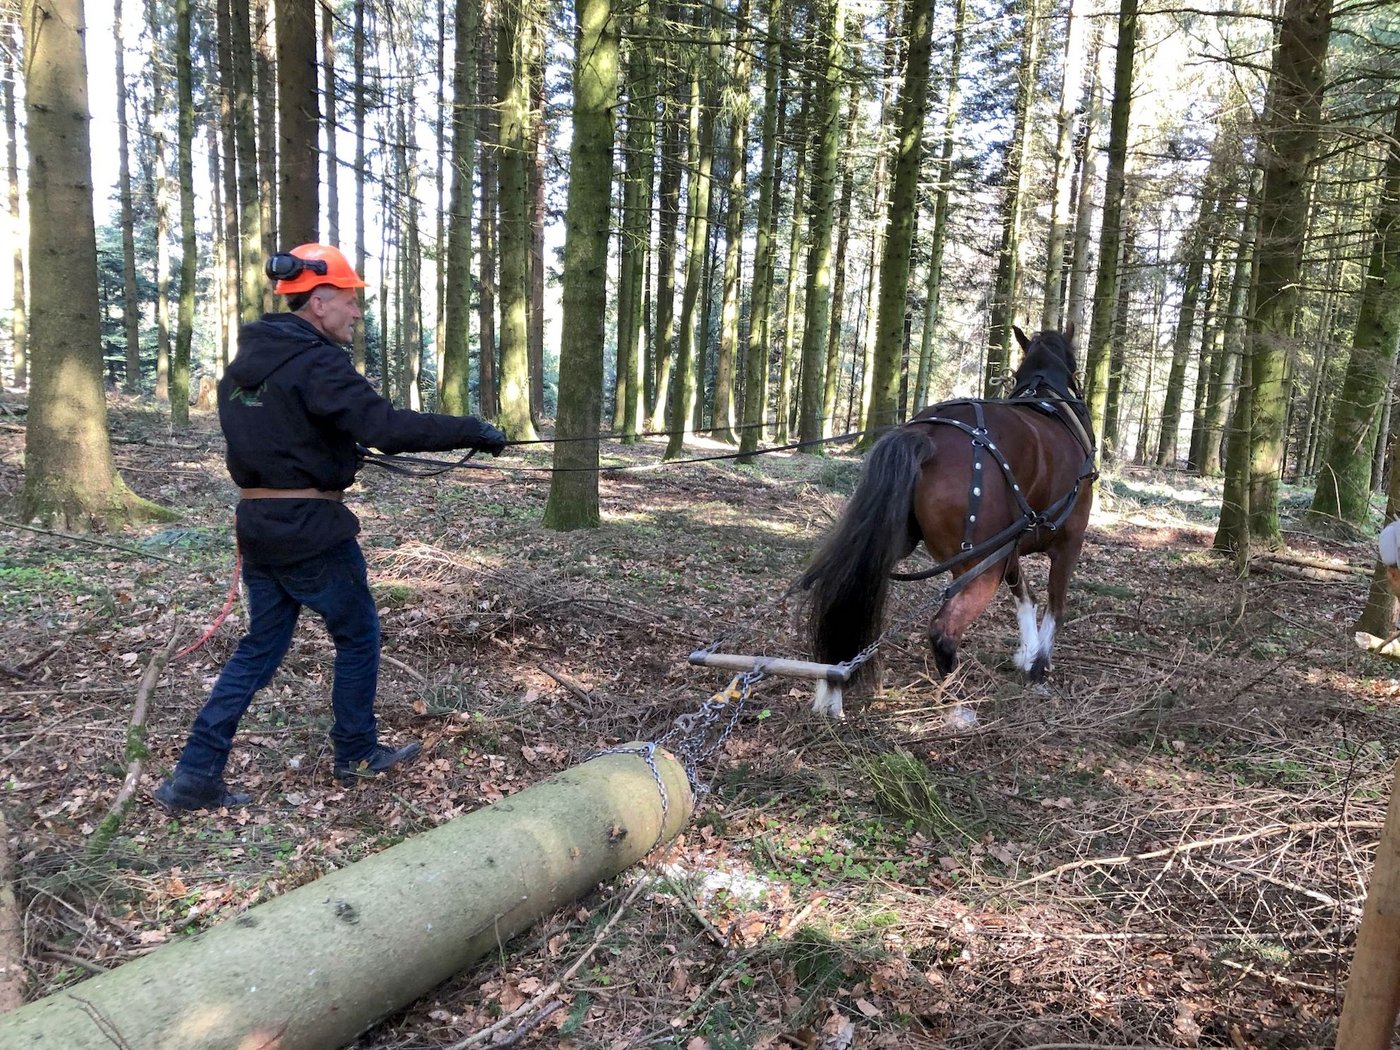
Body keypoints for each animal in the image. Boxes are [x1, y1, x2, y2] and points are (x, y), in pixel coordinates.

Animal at [801, 325, 1097, 716]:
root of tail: (925, 436)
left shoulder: (1011, 546)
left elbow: (1025, 597)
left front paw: (1027, 653)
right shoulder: (1069, 541)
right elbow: (1055, 607)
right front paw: (1038, 669)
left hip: (905, 544)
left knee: (847, 591)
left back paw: (831, 688)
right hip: (980, 567)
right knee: (944, 631)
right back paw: (956, 704)